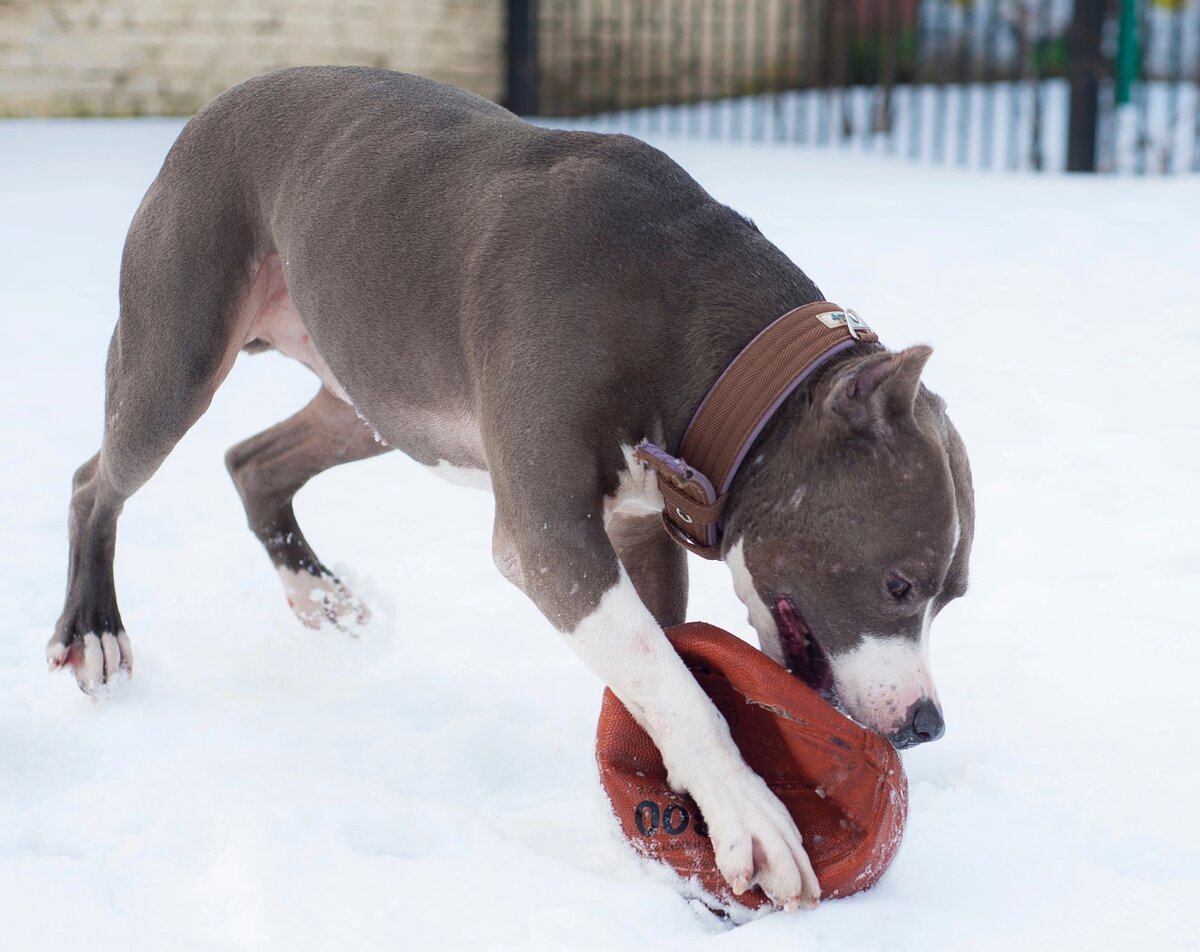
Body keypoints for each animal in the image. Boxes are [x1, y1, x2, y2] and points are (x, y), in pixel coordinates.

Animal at [51, 68, 974, 912]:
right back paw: (94, 632)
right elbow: (665, 675)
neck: (697, 339)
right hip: (176, 358)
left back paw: (319, 596)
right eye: (900, 584)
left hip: (370, 402)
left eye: (953, 597)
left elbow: (656, 665)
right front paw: (748, 814)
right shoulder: (552, 539)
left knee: (253, 461)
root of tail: (215, 105)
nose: (928, 725)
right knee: (96, 482)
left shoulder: (638, 534)